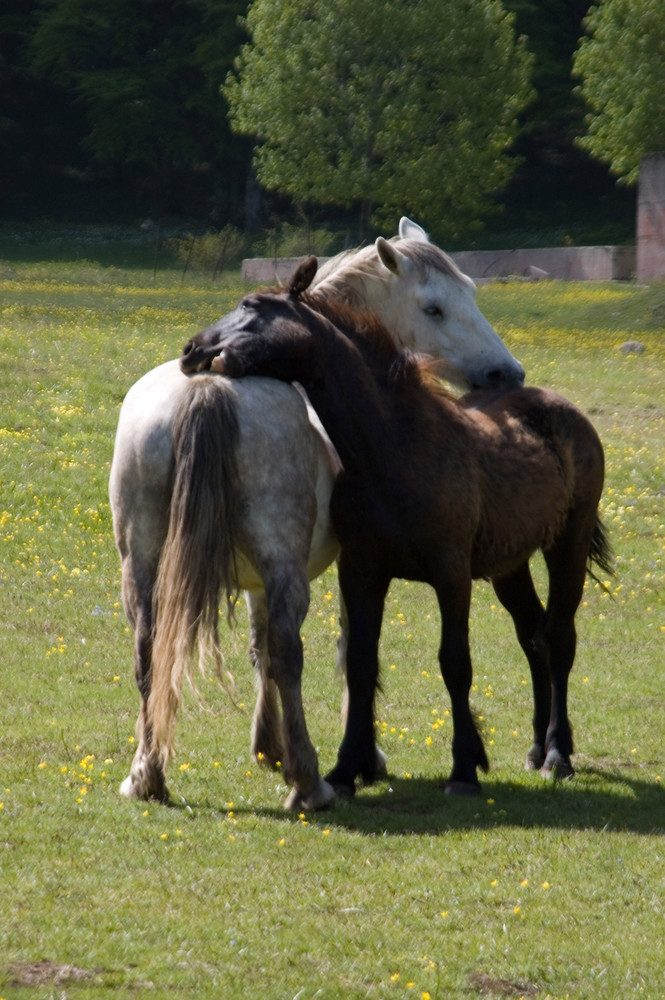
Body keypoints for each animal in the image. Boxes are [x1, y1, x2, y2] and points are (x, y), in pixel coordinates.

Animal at [110, 215, 524, 808]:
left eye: (470, 290)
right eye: (434, 308)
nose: (506, 374)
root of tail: (208, 387)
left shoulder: (258, 578)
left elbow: (259, 650)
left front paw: (268, 746)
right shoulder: (355, 567)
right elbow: (350, 652)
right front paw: (360, 756)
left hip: (142, 563)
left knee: (148, 648)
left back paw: (147, 774)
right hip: (283, 566)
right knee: (290, 651)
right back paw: (310, 782)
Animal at [182, 260, 612, 796]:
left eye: (251, 306)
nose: (192, 349)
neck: (392, 447)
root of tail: (563, 409)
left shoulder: (451, 575)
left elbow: (455, 664)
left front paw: (464, 769)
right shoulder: (363, 572)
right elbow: (361, 665)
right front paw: (345, 770)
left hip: (566, 545)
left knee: (558, 638)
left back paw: (557, 752)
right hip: (509, 565)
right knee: (532, 634)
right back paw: (535, 749)